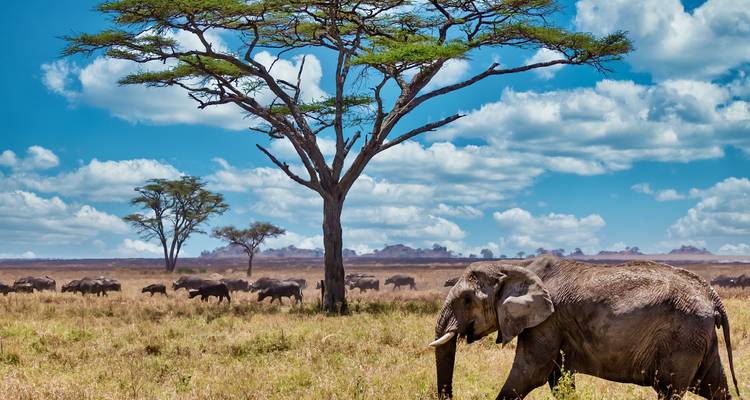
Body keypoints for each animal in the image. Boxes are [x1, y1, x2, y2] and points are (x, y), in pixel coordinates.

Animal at [431, 256, 741, 400]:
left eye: (467, 299)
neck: (514, 266)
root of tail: (711, 295)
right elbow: (557, 380)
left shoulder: (547, 321)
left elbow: (529, 373)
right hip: (698, 337)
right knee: (715, 387)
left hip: (683, 336)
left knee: (670, 389)